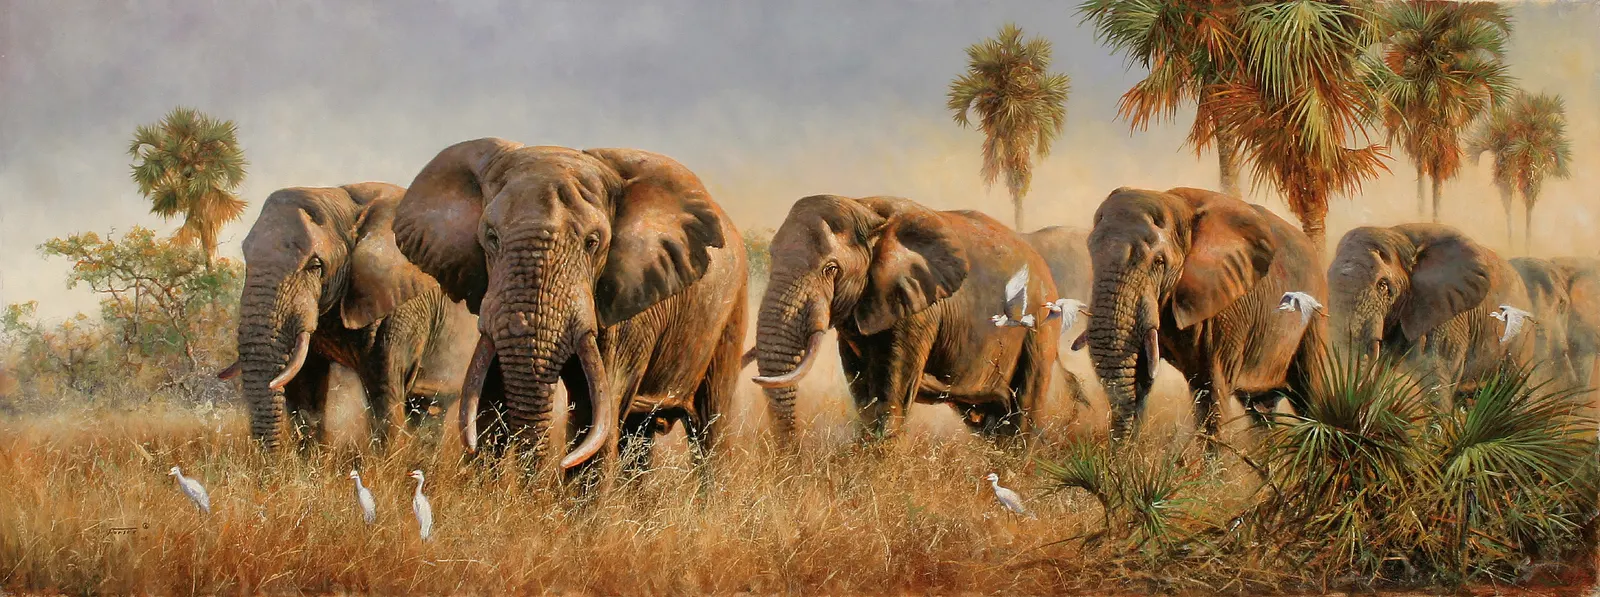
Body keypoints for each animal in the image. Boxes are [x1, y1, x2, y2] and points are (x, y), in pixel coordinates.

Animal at [220, 182, 479, 450]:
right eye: (247, 260)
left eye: (315, 266)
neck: (342, 201)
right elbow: (305, 386)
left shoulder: (405, 304)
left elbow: (384, 387)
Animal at [390, 138, 747, 477]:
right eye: (491, 238)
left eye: (592, 243)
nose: (537, 483)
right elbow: (490, 400)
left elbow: (594, 413)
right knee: (638, 434)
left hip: (732, 310)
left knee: (711, 427)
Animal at [749, 195, 1060, 441]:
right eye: (772, 257)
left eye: (831, 268)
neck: (864, 208)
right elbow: (863, 396)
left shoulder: (918, 313)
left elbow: (890, 399)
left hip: (1039, 326)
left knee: (1023, 414)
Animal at [1083, 187, 1326, 445]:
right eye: (1092, 255)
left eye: (1159, 262)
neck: (1176, 206)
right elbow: (1137, 373)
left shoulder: (1228, 308)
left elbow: (1212, 388)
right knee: (1259, 412)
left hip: (1314, 315)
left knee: (1309, 396)